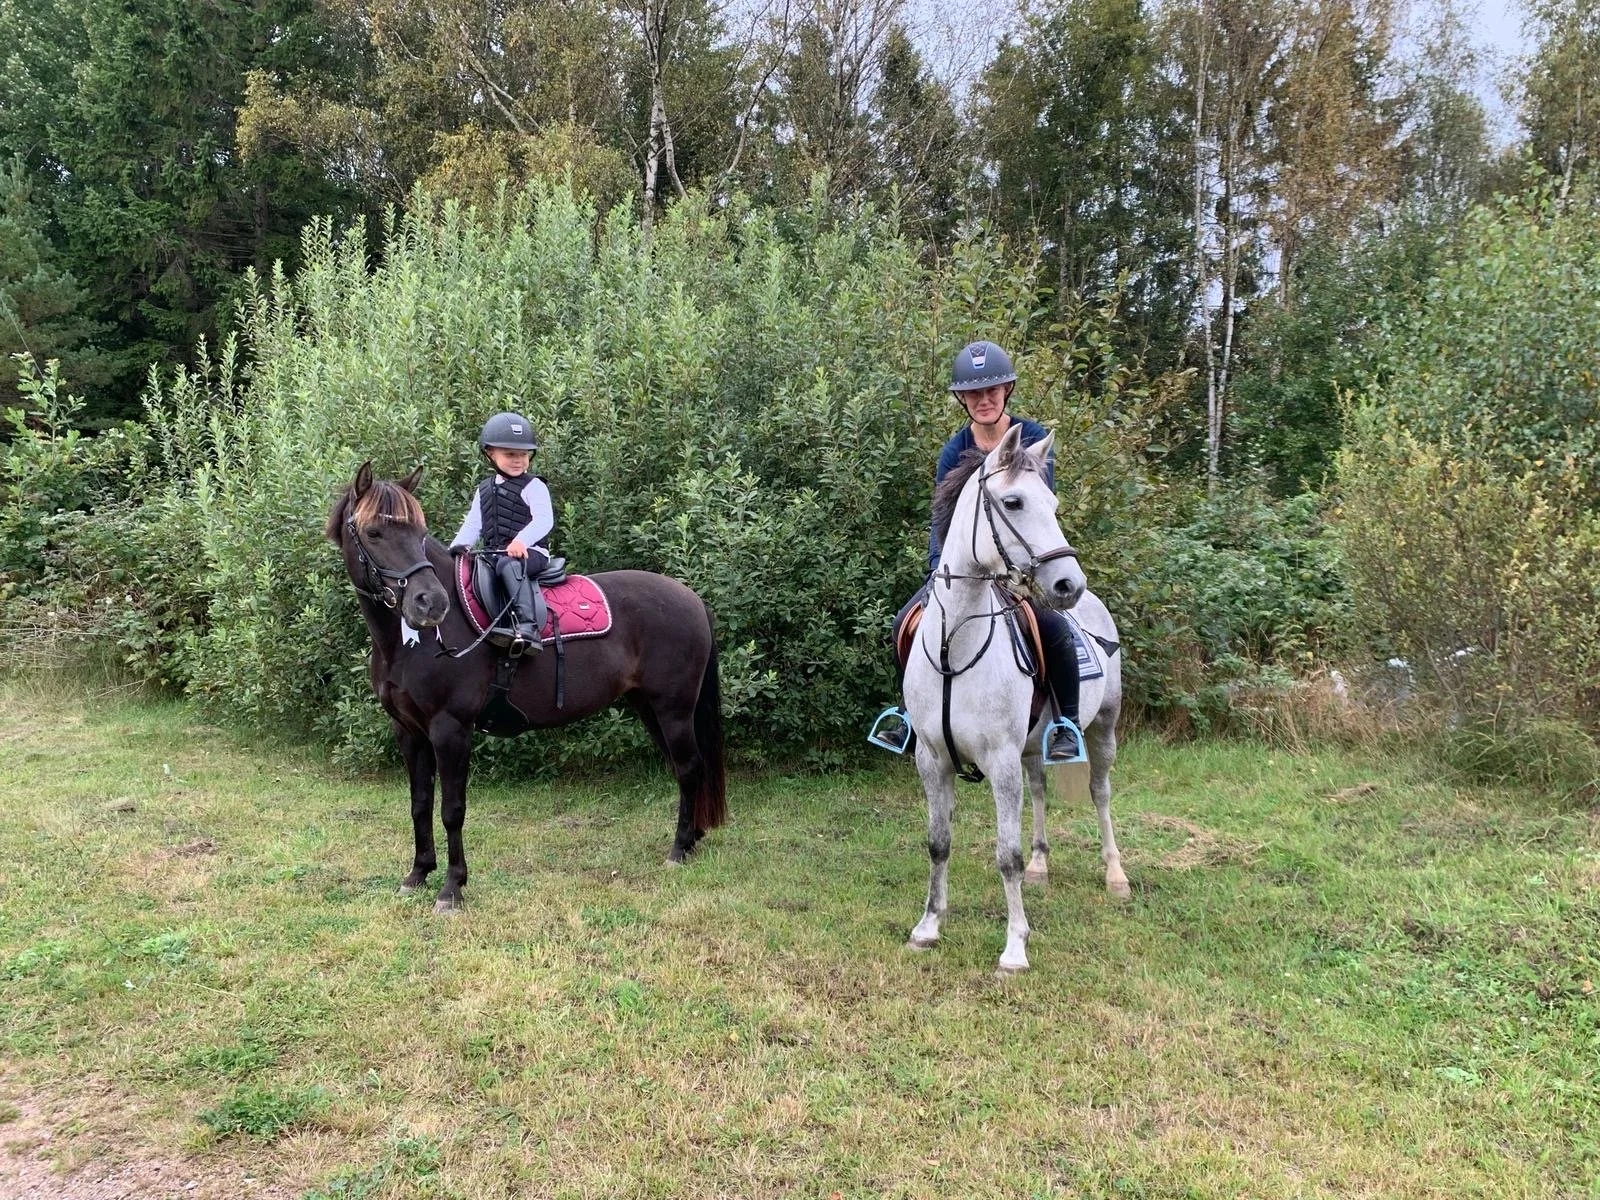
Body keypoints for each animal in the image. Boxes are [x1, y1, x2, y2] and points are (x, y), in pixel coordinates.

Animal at [325, 463, 726, 912]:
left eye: (419, 532)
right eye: (374, 532)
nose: (430, 604)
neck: (415, 643)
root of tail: (691, 598)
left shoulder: (450, 729)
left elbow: (451, 809)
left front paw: (451, 888)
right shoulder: (408, 731)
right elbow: (420, 803)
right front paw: (418, 873)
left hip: (673, 709)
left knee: (689, 767)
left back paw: (678, 849)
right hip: (650, 708)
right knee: (686, 769)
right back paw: (692, 840)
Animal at [903, 423, 1128, 974]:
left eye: (1053, 503)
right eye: (1013, 501)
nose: (1068, 584)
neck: (956, 644)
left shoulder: (1000, 760)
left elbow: (1007, 855)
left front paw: (1015, 948)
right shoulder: (932, 758)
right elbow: (938, 842)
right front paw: (928, 926)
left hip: (1103, 728)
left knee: (1101, 793)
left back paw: (1116, 876)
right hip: (1034, 745)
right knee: (1042, 789)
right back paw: (1043, 866)